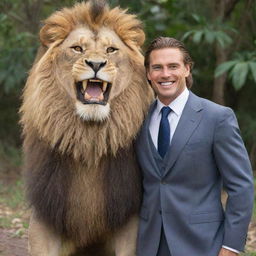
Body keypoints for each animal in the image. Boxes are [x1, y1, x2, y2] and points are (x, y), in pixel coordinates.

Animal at [20, 0, 153, 256]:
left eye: (111, 50)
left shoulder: (130, 217)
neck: (89, 140)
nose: (96, 64)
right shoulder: (45, 214)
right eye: (77, 49)